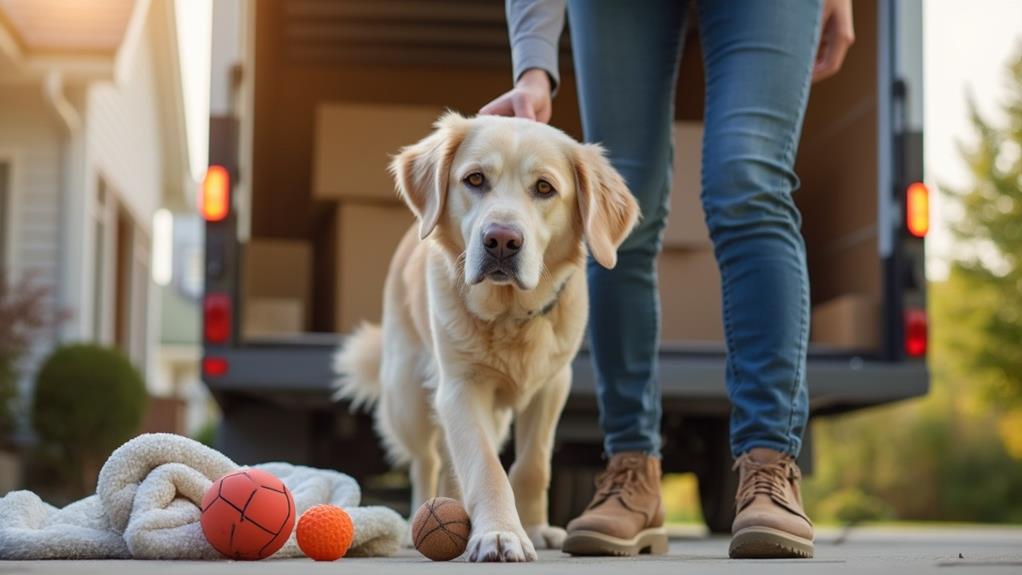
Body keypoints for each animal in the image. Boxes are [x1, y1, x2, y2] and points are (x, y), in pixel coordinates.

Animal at [337, 112, 637, 563]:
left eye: (544, 188)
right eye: (475, 179)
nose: (501, 240)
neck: (510, 314)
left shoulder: (553, 385)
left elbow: (533, 464)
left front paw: (534, 526)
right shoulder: (460, 387)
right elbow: (484, 465)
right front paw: (499, 532)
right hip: (407, 397)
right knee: (424, 460)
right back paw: (417, 520)